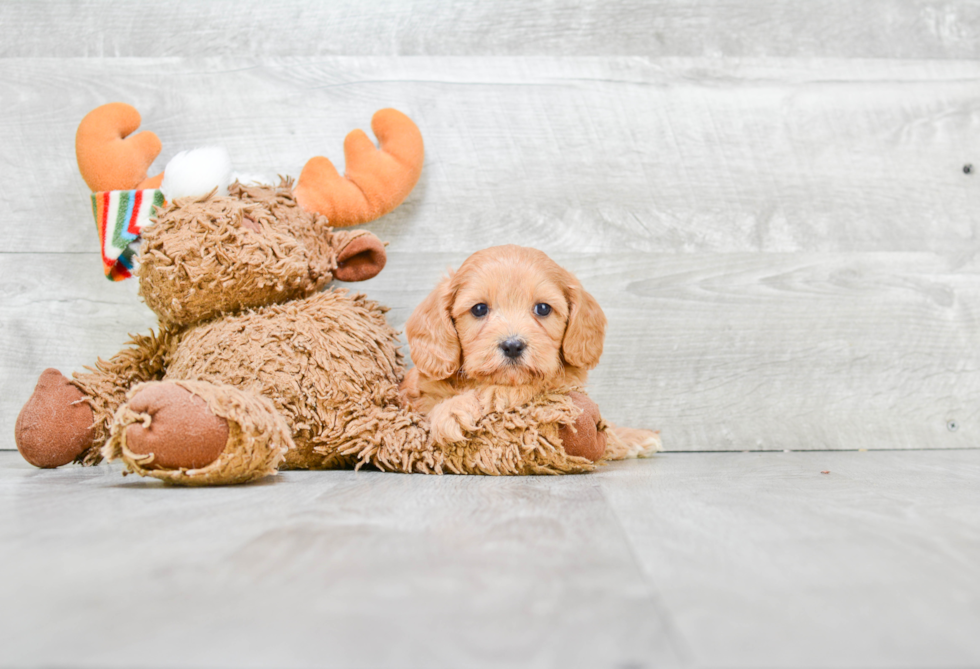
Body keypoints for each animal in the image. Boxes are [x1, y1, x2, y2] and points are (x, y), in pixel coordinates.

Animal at [398, 244, 660, 460]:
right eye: (479, 309)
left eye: (543, 308)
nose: (512, 346)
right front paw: (452, 409)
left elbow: (528, 386)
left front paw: (632, 436)